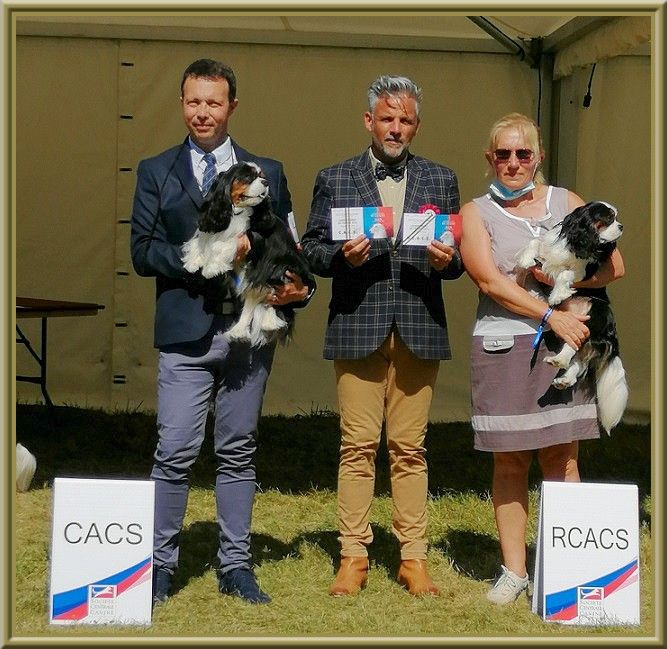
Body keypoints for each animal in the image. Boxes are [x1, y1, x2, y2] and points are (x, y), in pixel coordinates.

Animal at [181, 161, 314, 347]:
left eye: (261, 176)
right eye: (247, 176)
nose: (266, 182)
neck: (238, 211)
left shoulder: (251, 238)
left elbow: (222, 245)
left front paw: (211, 268)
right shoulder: (212, 224)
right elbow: (200, 240)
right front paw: (192, 262)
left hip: (273, 268)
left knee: (261, 300)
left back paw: (251, 327)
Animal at [515, 201, 628, 433]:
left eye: (615, 218)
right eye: (608, 218)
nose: (621, 227)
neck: (578, 241)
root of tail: (612, 333)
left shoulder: (582, 271)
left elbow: (566, 273)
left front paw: (558, 294)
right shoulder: (548, 252)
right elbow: (535, 242)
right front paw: (525, 261)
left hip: (593, 316)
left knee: (576, 347)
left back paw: (559, 361)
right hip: (569, 327)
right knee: (579, 359)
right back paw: (564, 379)